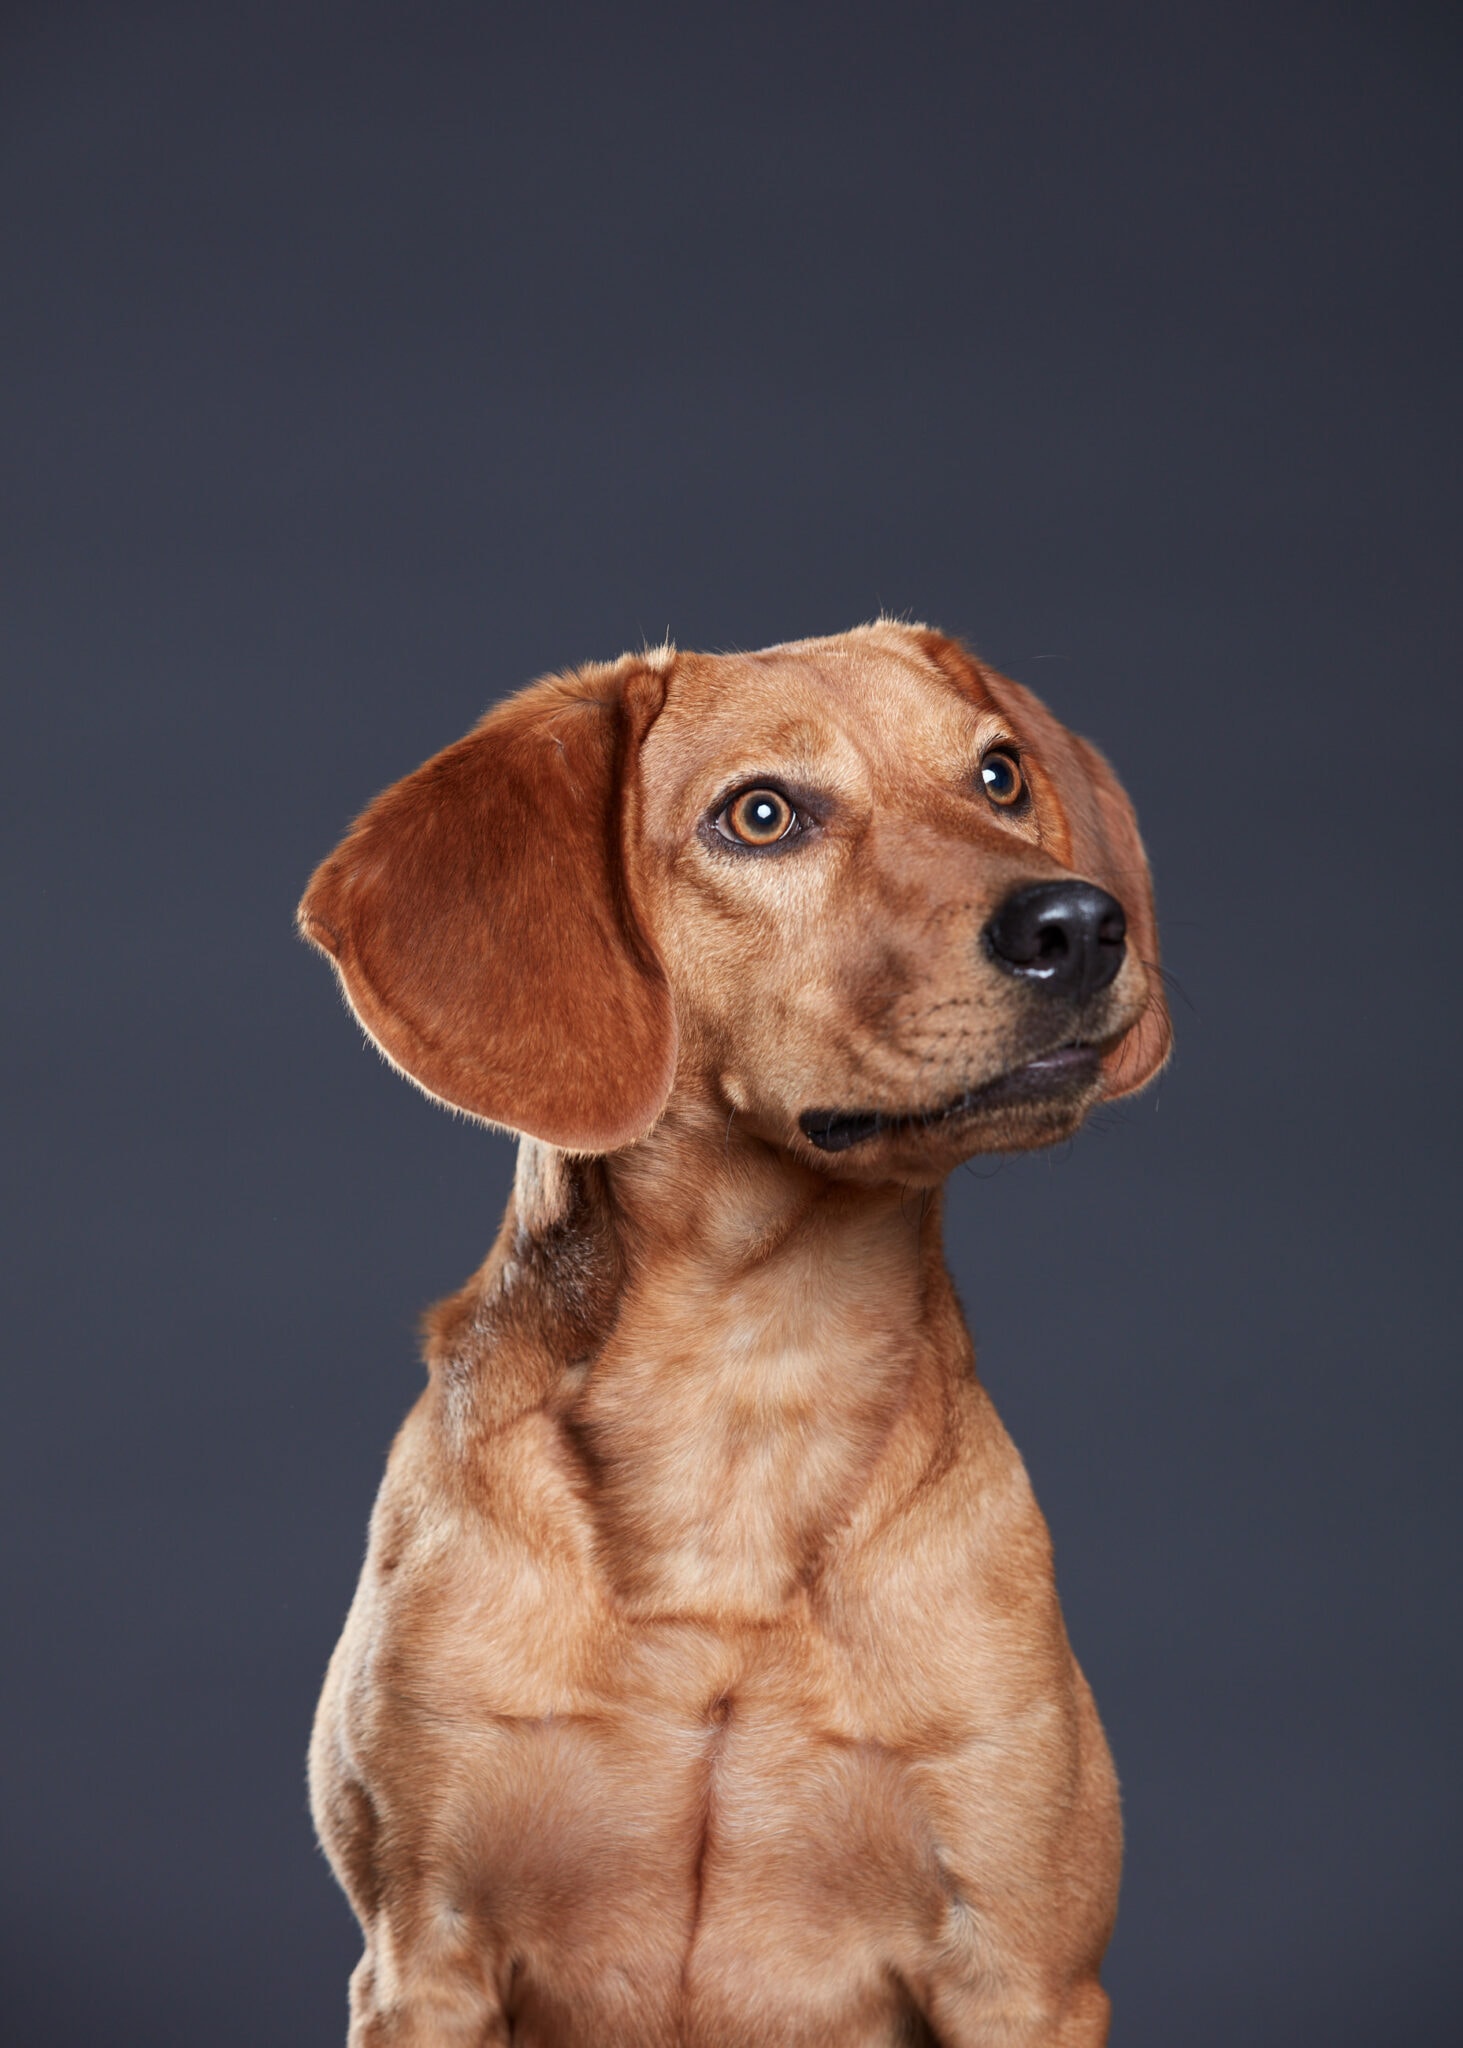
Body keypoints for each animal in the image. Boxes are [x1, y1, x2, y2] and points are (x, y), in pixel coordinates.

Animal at [297, 622, 1163, 2048]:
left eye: (997, 776)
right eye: (761, 815)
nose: (1079, 922)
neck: (752, 1378)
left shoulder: (1022, 1970)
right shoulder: (420, 1959)